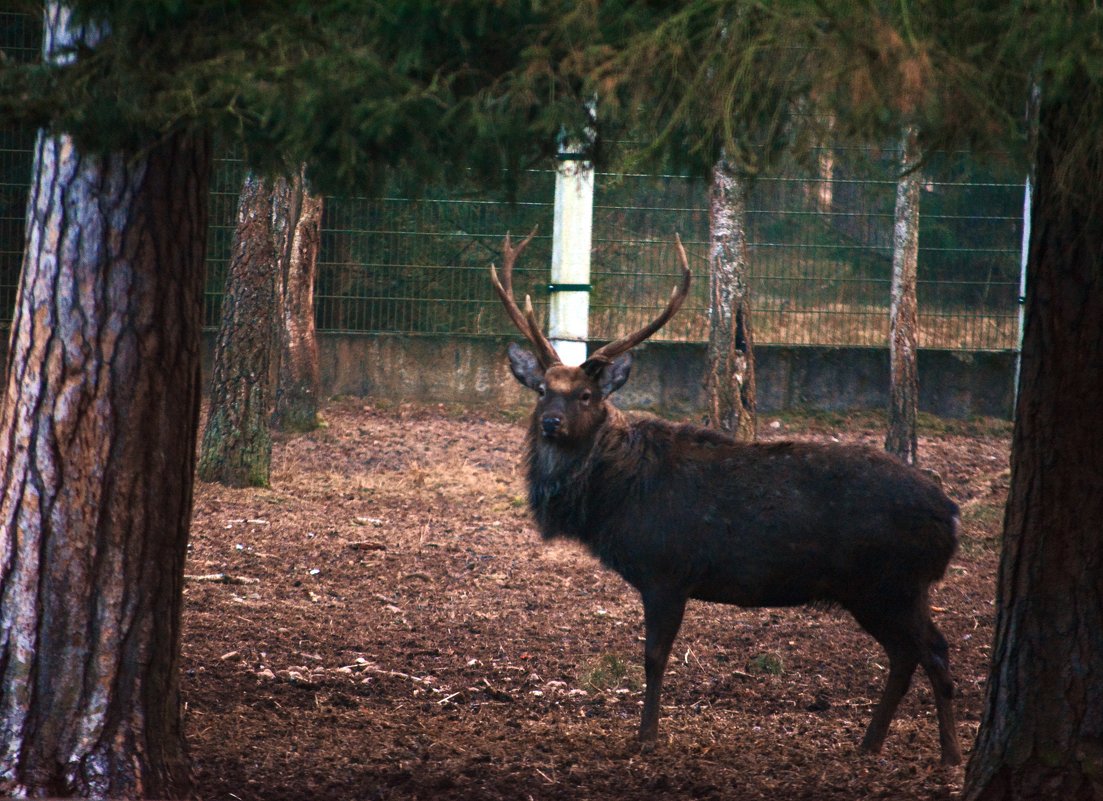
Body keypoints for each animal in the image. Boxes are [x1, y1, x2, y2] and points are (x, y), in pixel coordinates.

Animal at [491, 230, 966, 763]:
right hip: (875, 589)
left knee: (933, 650)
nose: (551, 423)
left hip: (894, 582)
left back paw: (949, 755)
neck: (617, 500)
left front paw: (646, 736)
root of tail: (951, 515)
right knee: (907, 654)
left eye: (586, 396)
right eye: (541, 391)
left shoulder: (667, 571)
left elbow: (654, 656)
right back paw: (870, 744)